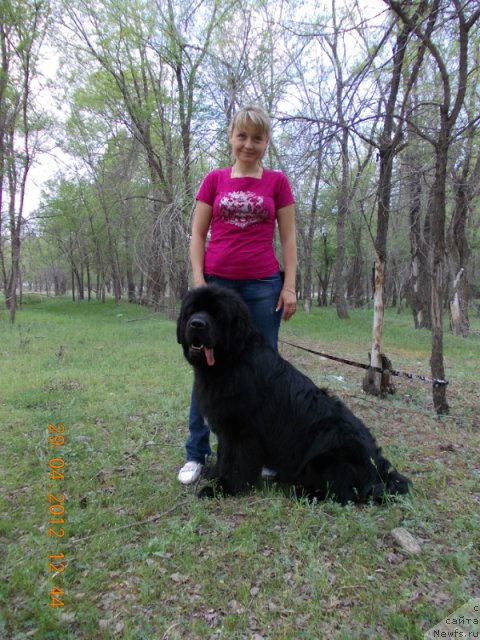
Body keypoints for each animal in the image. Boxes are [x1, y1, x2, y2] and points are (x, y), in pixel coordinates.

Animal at [178, 286, 410, 504]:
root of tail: (379, 468)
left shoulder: (241, 432)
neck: (231, 361)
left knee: (343, 493)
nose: (197, 324)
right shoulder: (226, 430)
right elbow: (222, 454)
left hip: (325, 456)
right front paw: (214, 473)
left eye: (217, 315)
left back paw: (301, 493)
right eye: (192, 311)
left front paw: (223, 488)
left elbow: (234, 462)